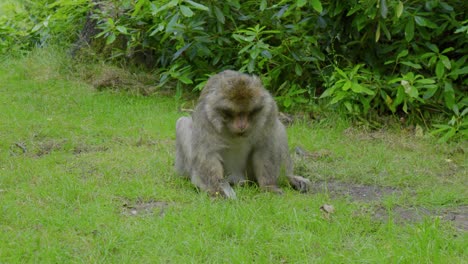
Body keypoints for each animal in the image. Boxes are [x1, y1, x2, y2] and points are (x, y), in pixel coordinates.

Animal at [176, 70, 310, 198]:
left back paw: (289, 178)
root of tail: (238, 178)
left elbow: (265, 148)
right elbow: (208, 154)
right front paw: (216, 191)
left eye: (248, 112)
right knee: (182, 123)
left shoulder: (269, 110)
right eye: (231, 113)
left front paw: (269, 186)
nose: (242, 125)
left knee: (279, 128)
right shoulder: (205, 116)